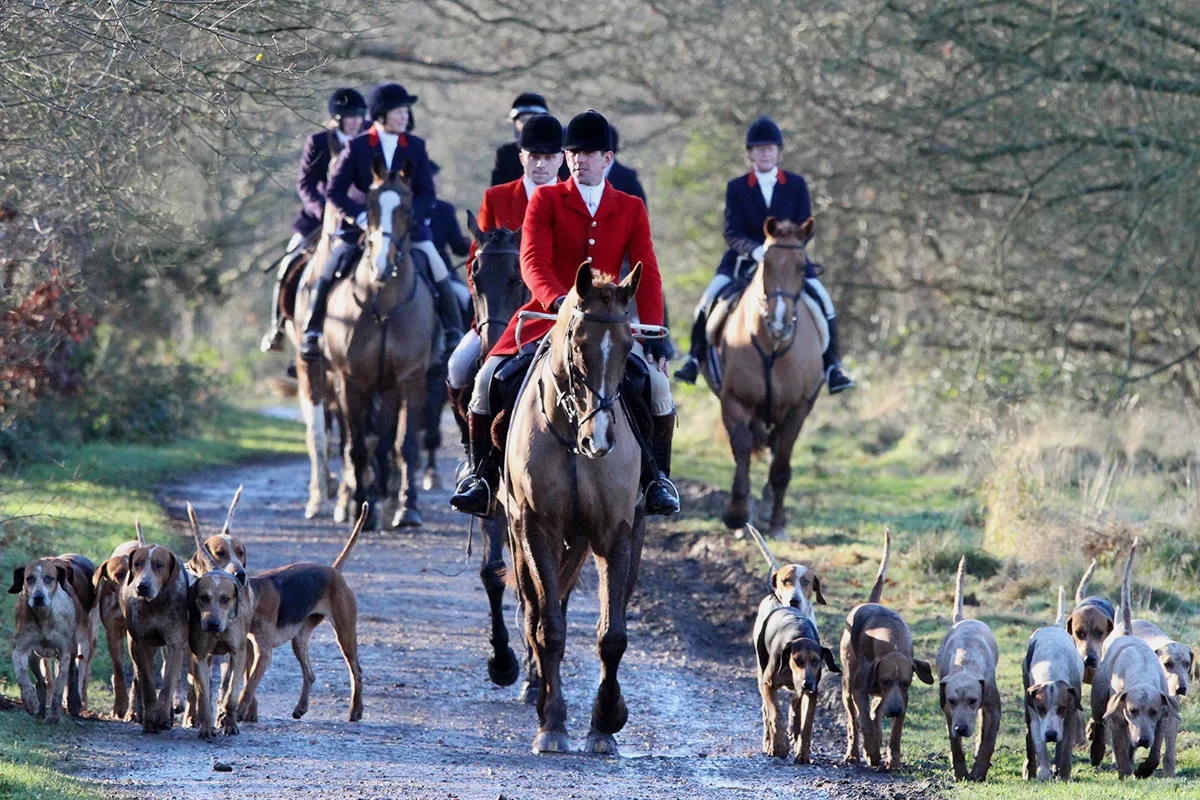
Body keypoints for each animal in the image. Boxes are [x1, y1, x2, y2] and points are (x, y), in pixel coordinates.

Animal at [499, 262, 648, 758]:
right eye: (578, 345)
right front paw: (553, 724)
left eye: (628, 346)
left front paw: (606, 722)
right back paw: (539, 696)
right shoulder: (537, 531)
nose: (598, 439)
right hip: (519, 538)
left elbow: (613, 635)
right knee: (534, 615)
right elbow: (550, 629)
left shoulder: (616, 533)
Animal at [696, 217, 825, 537]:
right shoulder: (735, 401)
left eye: (801, 267)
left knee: (776, 453)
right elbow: (741, 451)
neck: (772, 347)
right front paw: (737, 514)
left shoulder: (797, 409)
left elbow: (781, 465)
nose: (779, 323)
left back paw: (768, 512)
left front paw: (776, 522)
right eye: (765, 264)